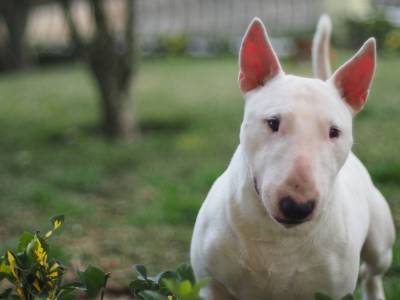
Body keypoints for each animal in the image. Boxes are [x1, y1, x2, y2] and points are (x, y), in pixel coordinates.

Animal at [191, 16, 396, 300]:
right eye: (273, 122)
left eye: (334, 131)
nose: (297, 206)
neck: (280, 240)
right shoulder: (212, 285)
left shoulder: (335, 291)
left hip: (380, 243)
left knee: (373, 272)